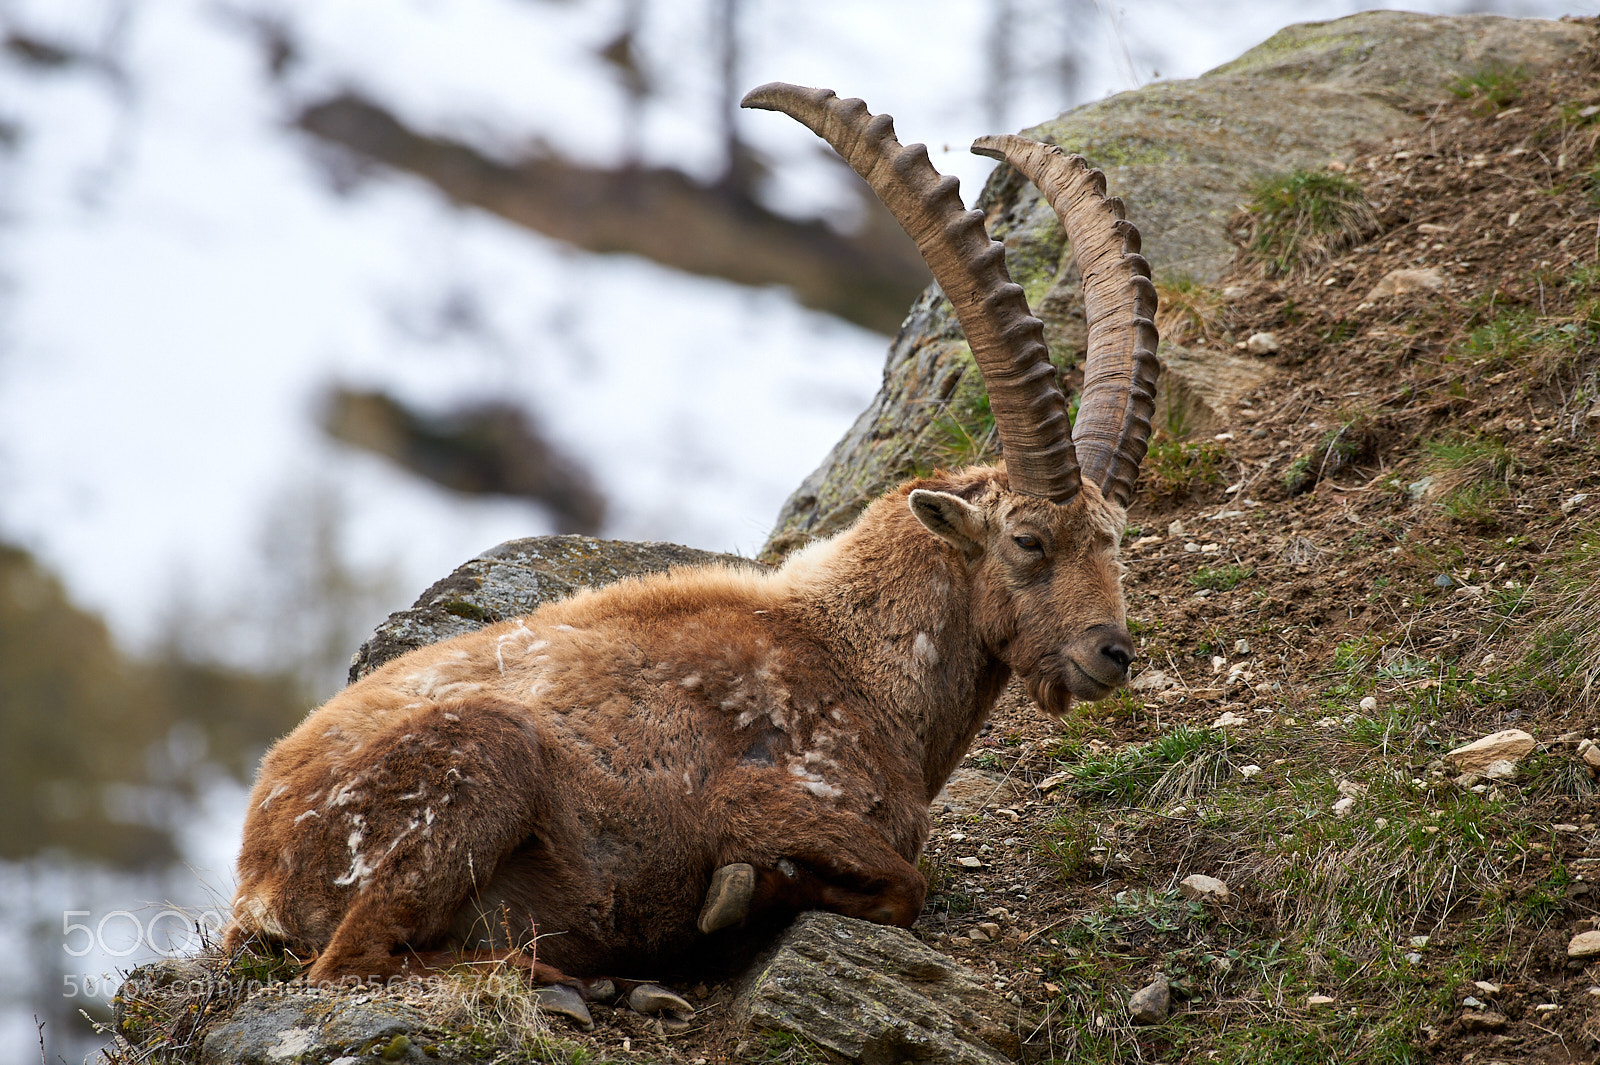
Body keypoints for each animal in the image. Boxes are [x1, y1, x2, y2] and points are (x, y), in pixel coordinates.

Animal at [222, 84, 1160, 1025]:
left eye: (1117, 541)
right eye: (1029, 540)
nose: (1112, 652)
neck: (859, 659)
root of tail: (257, 874)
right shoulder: (759, 798)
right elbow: (902, 882)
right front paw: (739, 901)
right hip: (478, 760)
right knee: (352, 961)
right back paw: (577, 979)